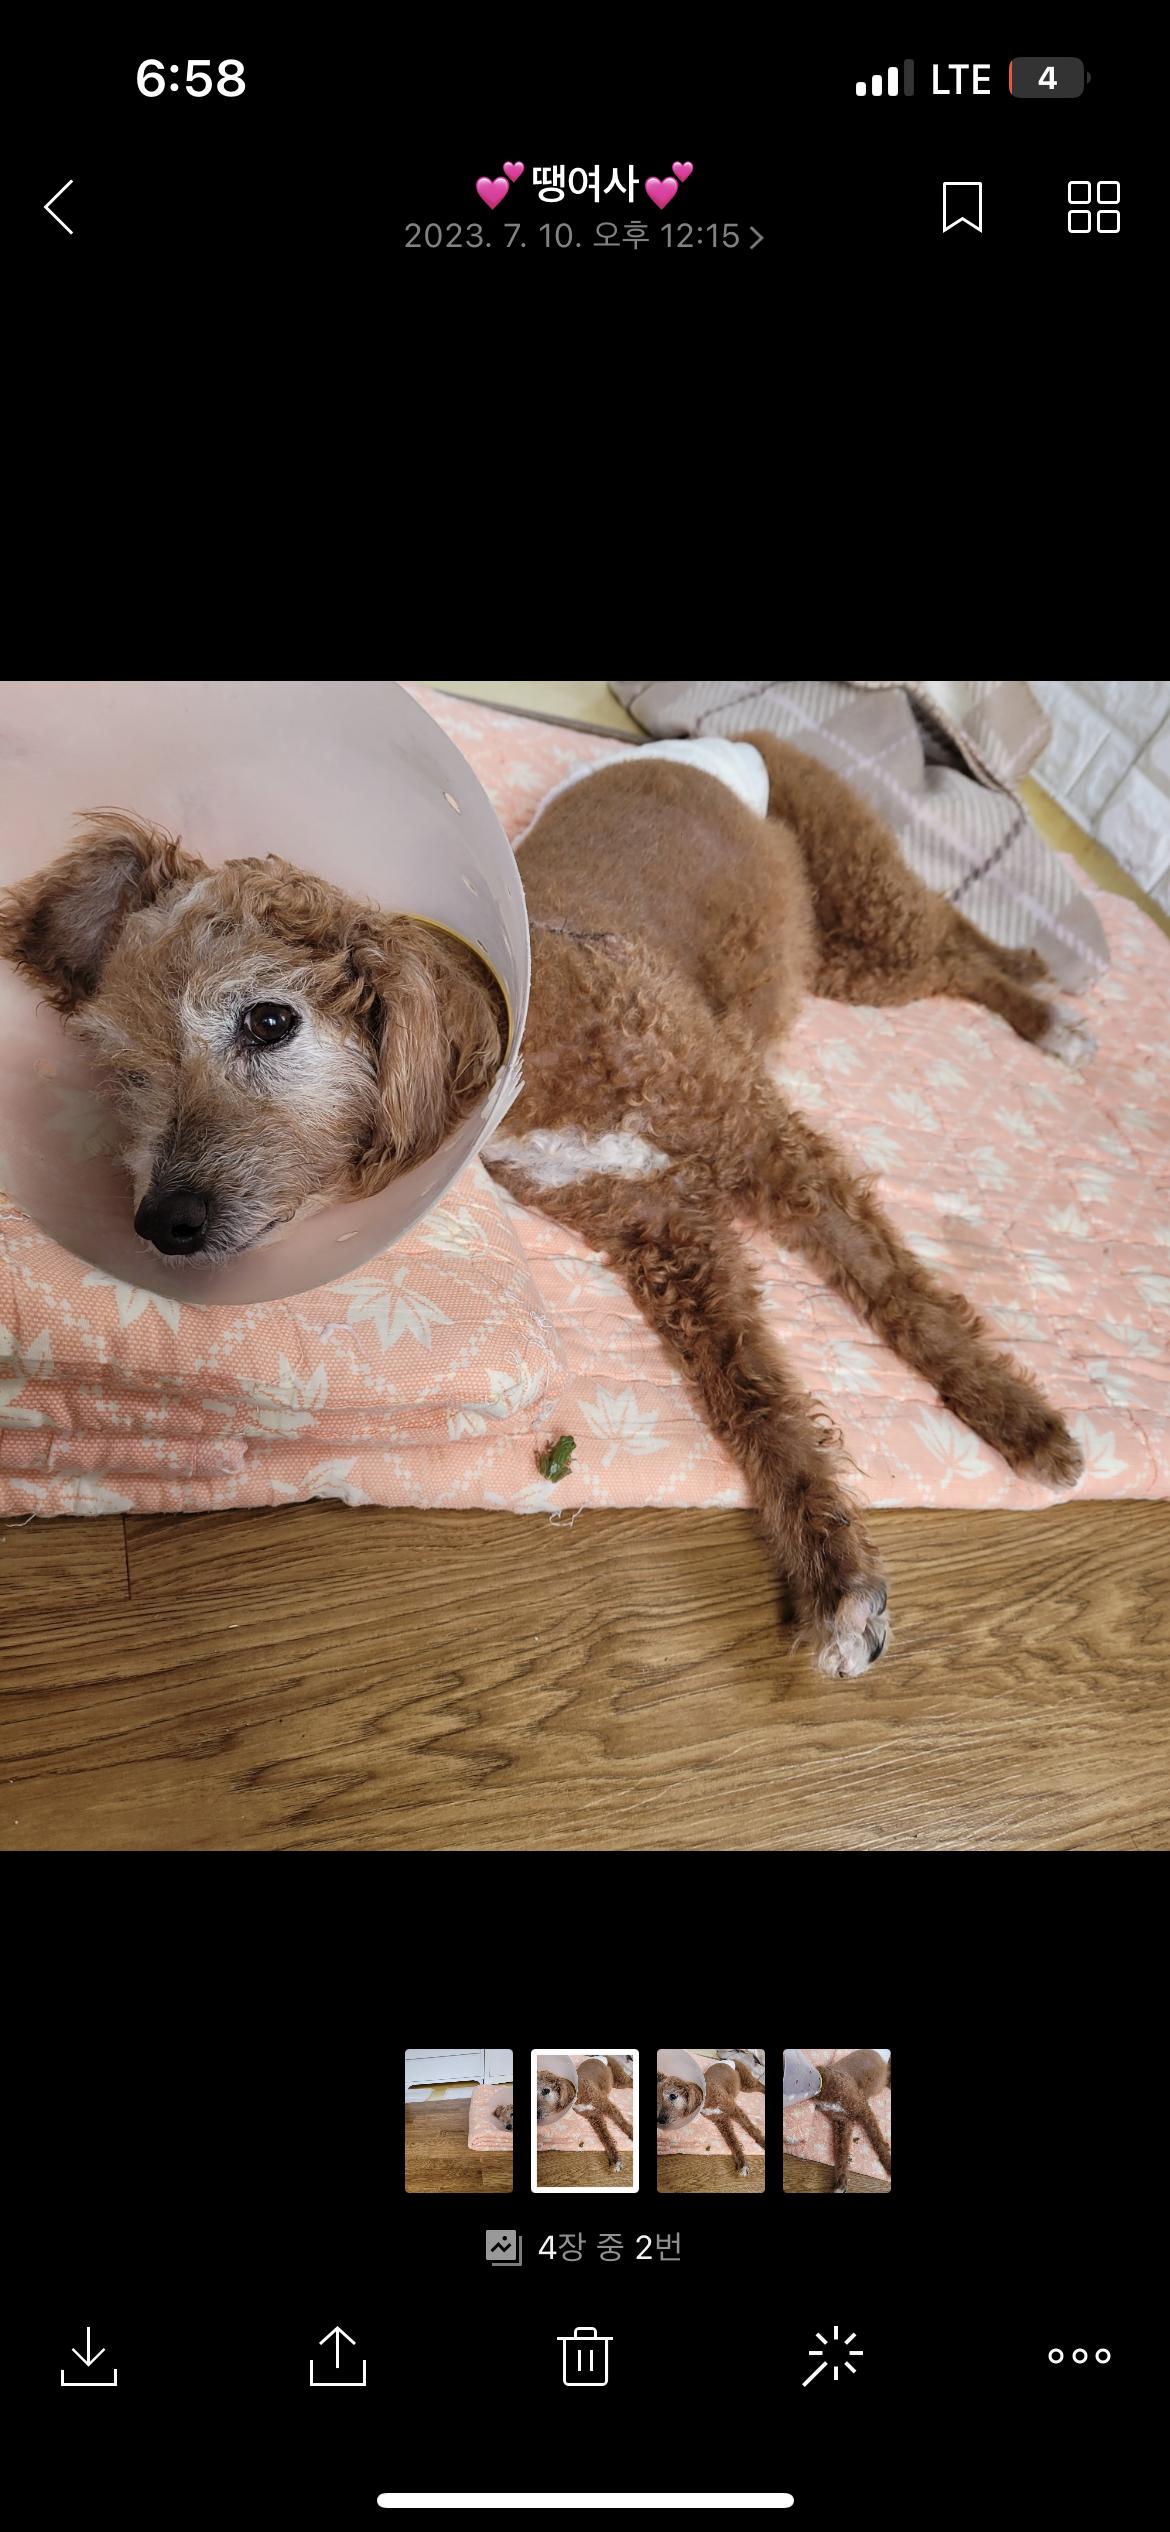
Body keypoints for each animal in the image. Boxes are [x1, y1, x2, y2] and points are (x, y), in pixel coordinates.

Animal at [0, 732, 1086, 1677]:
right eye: (128, 1074)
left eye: (269, 1021)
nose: (162, 1223)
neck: (543, 1055)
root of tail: (734, 739)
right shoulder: (666, 1234)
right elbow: (757, 1402)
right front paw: (837, 1582)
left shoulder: (766, 1146)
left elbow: (901, 1294)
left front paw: (1021, 1422)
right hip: (836, 959)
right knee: (951, 952)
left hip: (863, 917)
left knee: (958, 945)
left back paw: (1047, 1005)